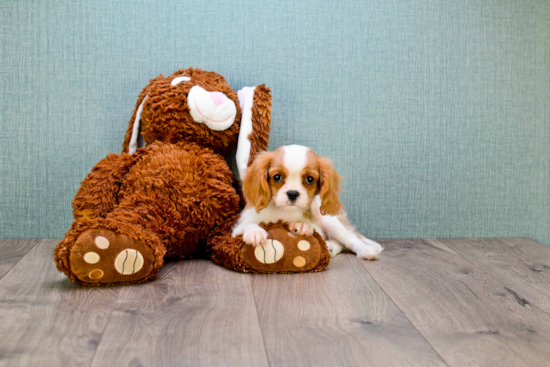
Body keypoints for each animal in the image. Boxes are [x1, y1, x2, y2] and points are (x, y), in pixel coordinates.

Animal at [232, 145, 384, 260]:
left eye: (310, 179)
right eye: (277, 177)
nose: (292, 193)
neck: (285, 211)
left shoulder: (318, 230)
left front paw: (301, 225)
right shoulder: (236, 230)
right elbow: (248, 225)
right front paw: (255, 232)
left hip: (328, 220)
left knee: (349, 239)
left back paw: (365, 250)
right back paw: (330, 247)